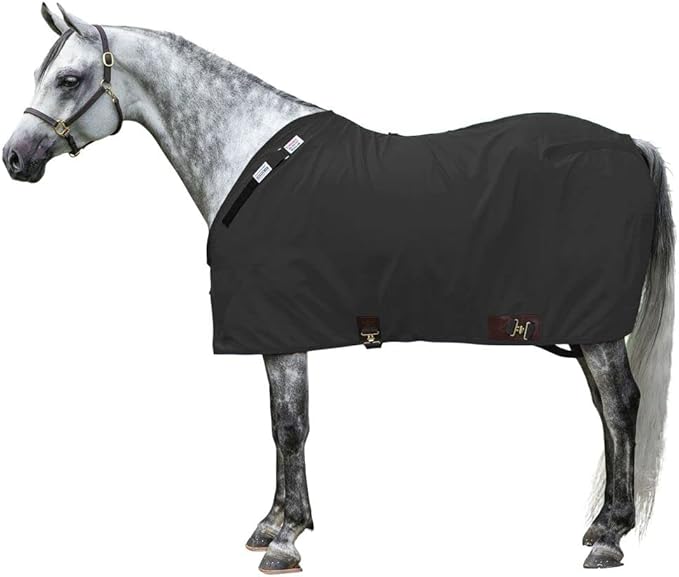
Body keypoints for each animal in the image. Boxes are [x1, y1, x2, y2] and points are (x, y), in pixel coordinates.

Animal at [2, 4, 673, 573]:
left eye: (67, 79)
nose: (15, 158)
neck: (252, 164)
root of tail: (629, 144)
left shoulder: (283, 330)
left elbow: (289, 426)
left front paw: (286, 537)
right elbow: (279, 425)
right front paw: (273, 523)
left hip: (595, 328)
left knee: (621, 405)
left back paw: (610, 536)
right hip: (582, 328)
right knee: (606, 409)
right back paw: (602, 525)